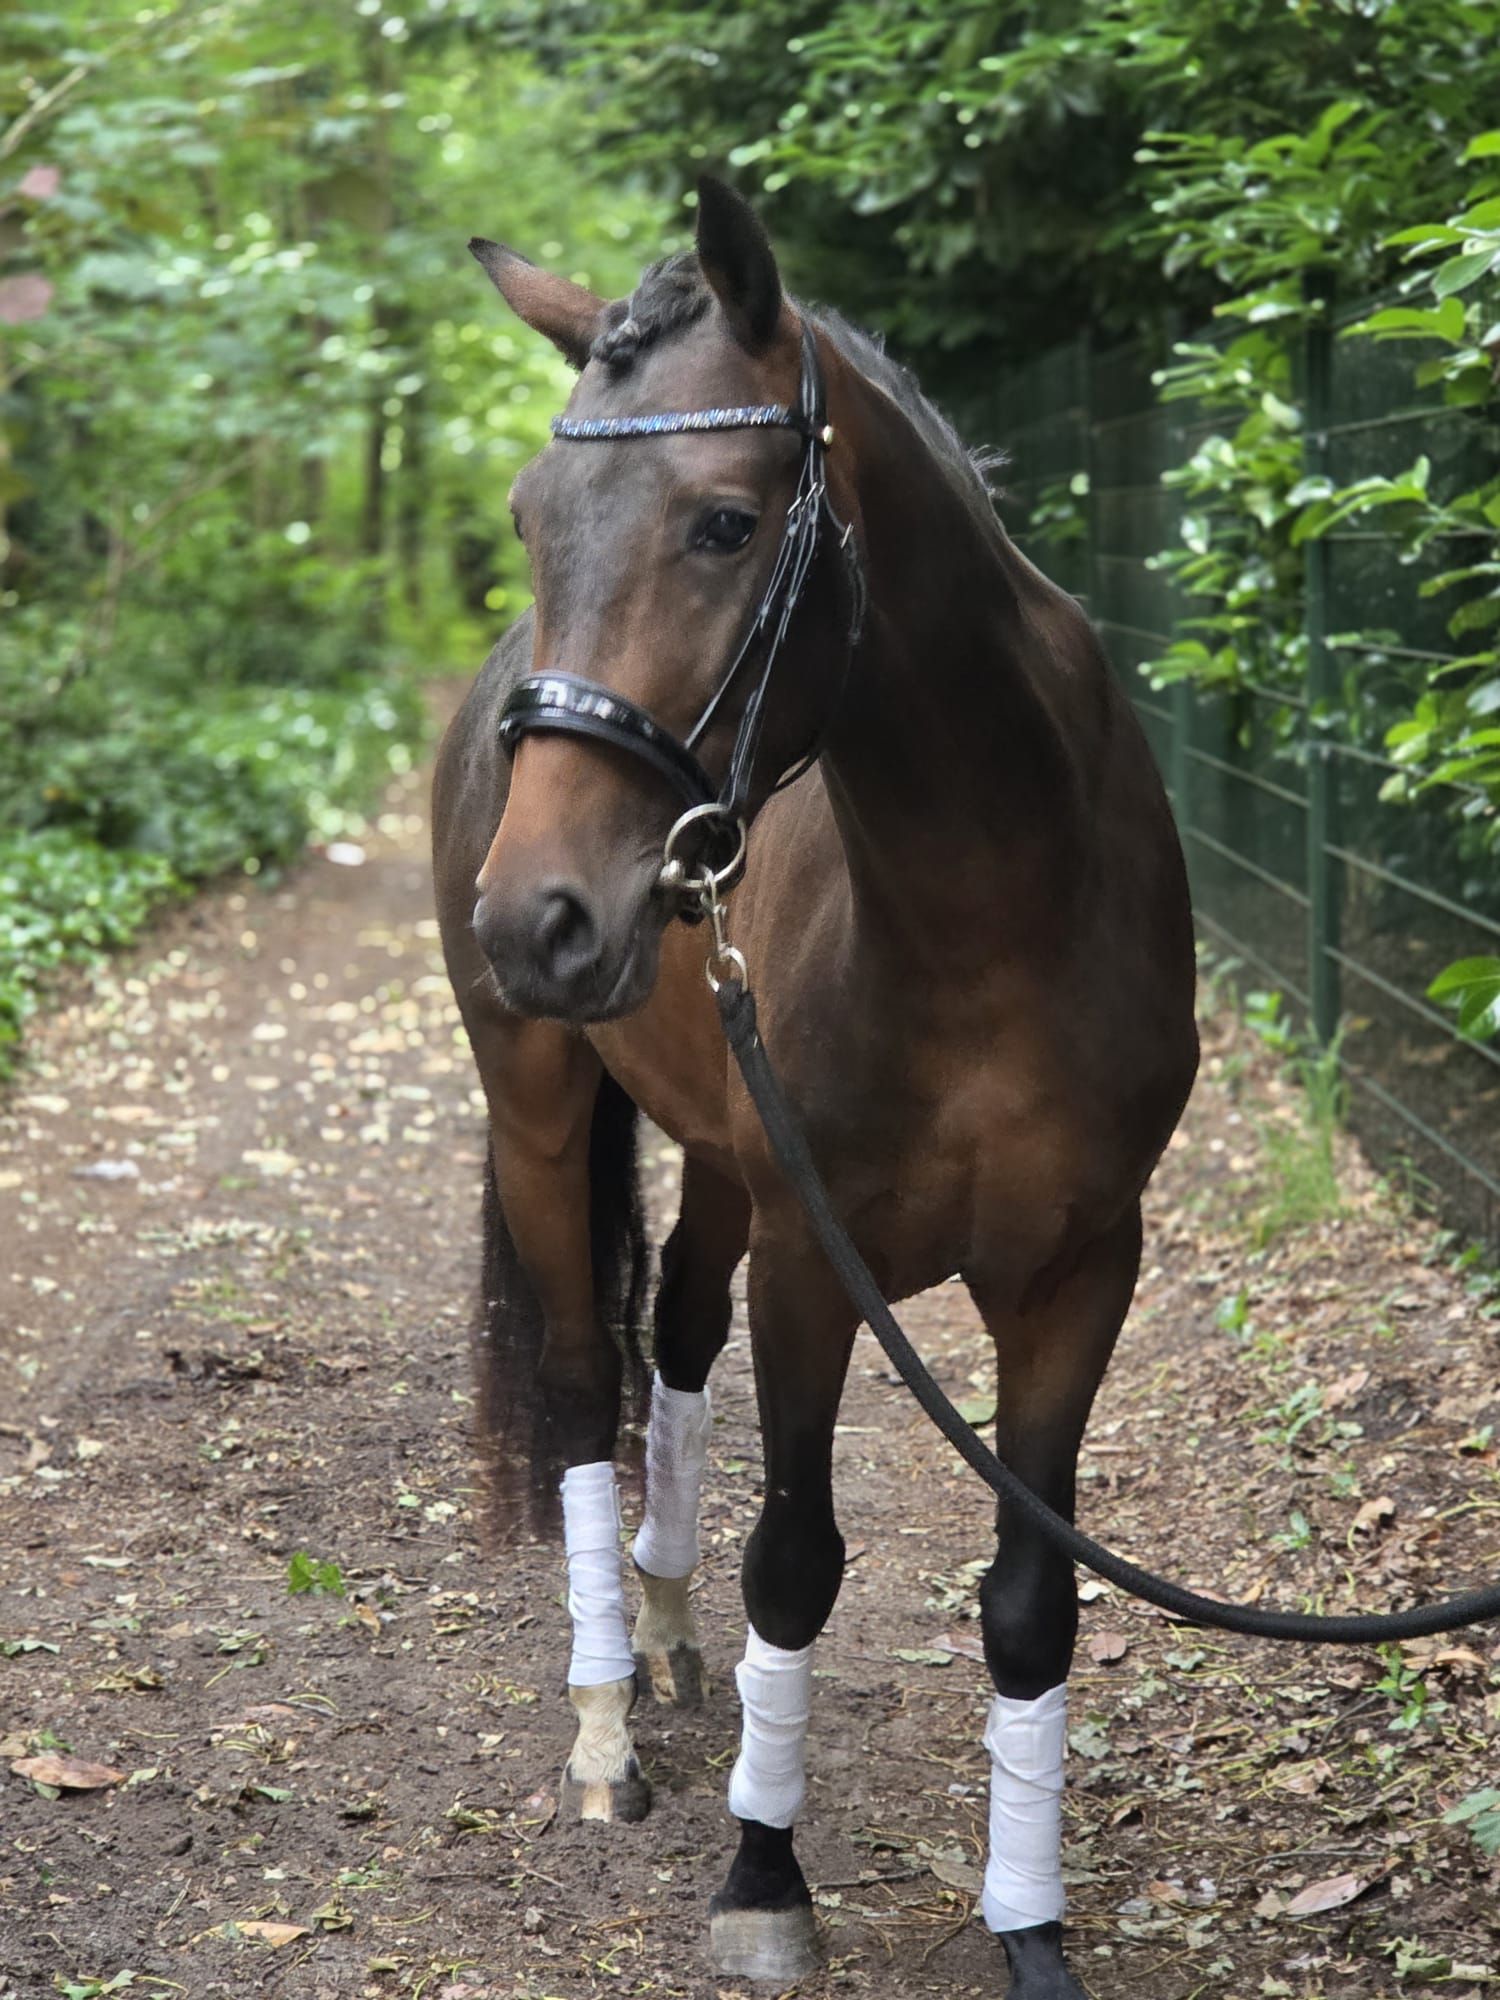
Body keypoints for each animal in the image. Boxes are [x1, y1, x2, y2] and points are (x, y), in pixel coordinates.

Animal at [431, 175, 1199, 1996]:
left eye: (723, 525)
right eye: (528, 517)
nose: (534, 917)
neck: (993, 905)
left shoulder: (1081, 1271)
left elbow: (1031, 1598)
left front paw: (1029, 1926)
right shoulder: (814, 1259)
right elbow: (798, 1559)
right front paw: (763, 1873)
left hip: (720, 1147)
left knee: (674, 1331)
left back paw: (663, 1621)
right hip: (538, 1108)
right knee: (585, 1382)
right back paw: (606, 1723)